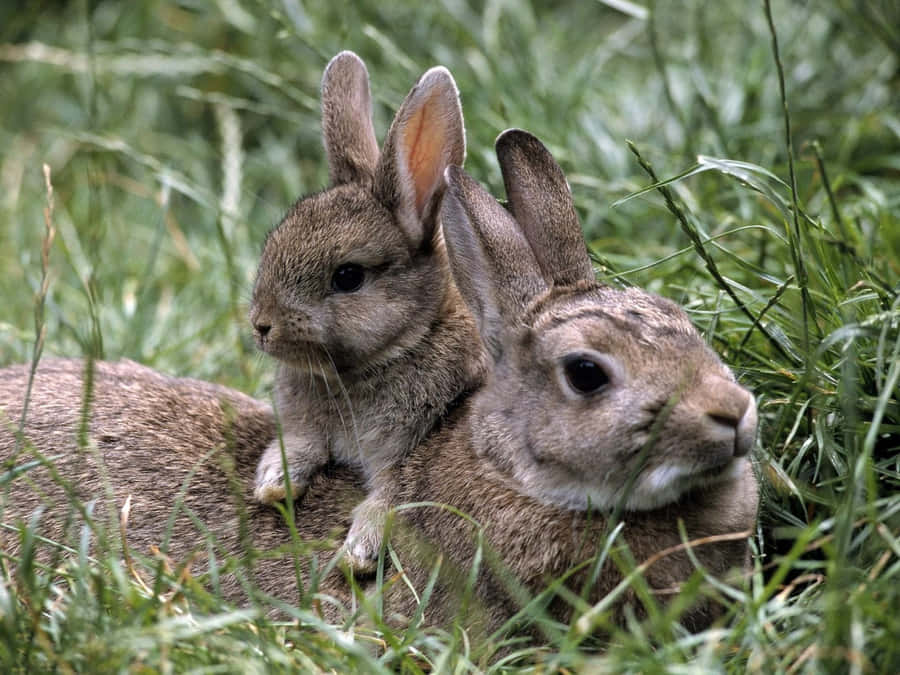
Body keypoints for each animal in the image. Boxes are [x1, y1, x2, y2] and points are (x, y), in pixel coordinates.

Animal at [247, 51, 486, 573]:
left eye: (348, 277)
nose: (261, 326)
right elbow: (300, 443)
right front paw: (273, 484)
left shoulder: (410, 449)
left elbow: (390, 497)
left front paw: (357, 553)